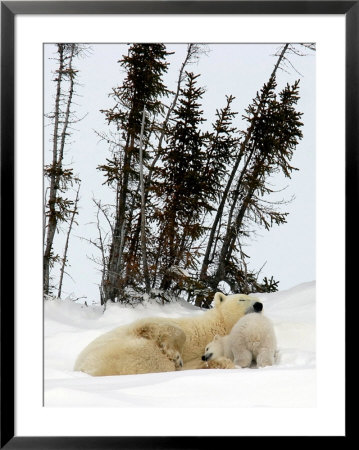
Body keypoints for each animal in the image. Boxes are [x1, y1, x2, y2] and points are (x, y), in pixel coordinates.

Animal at [74, 292, 264, 376]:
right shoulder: (187, 326)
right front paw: (176, 355)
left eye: (257, 299)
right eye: (242, 298)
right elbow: (169, 328)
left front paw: (221, 363)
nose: (259, 305)